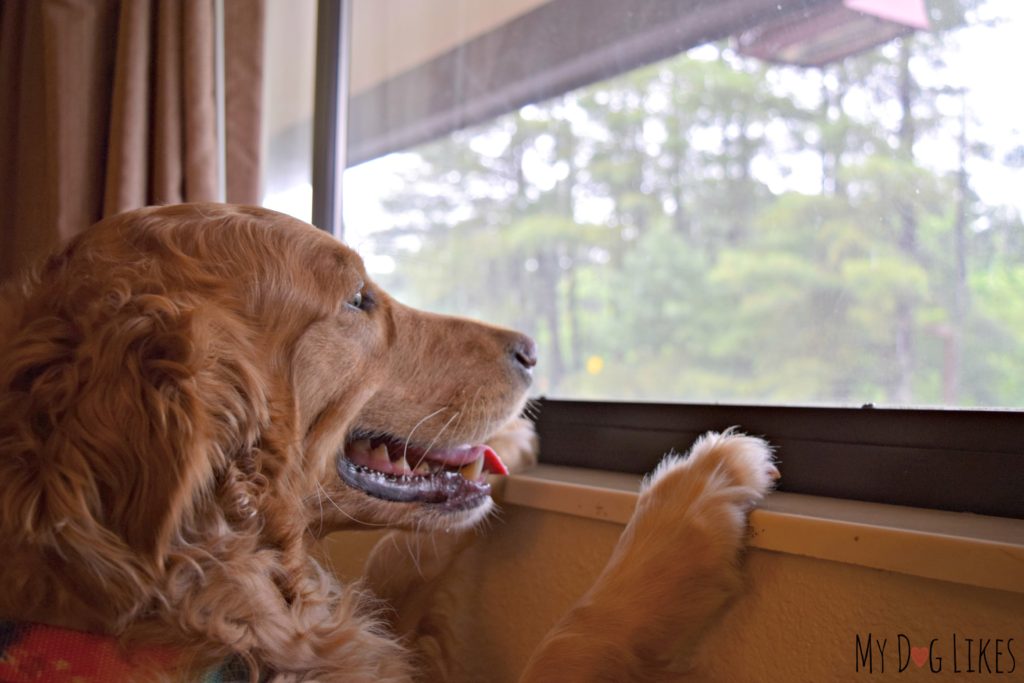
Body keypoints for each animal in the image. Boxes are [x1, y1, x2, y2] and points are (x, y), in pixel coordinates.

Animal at [0, 204, 770, 683]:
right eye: (357, 300)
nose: (531, 349)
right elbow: (576, 633)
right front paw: (691, 503)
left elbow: (397, 561)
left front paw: (507, 444)